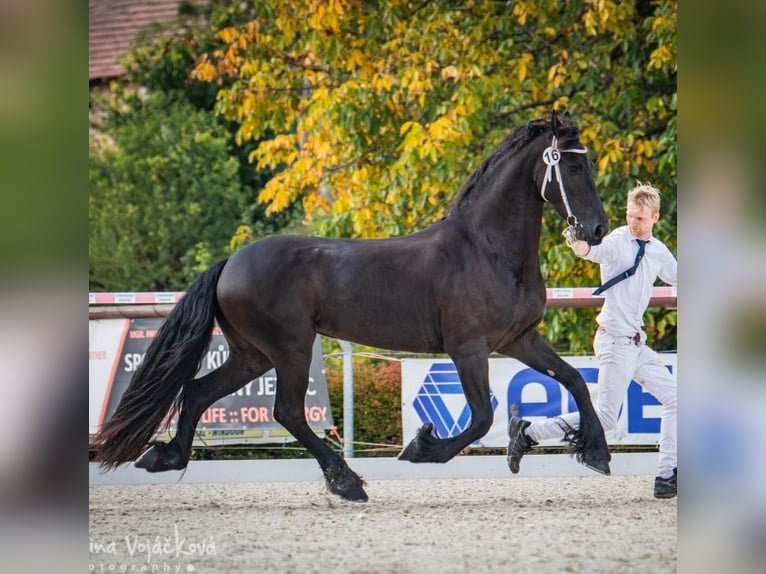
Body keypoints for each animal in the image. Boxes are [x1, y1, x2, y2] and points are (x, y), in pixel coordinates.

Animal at [93, 112, 612, 504]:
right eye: (572, 168)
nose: (597, 229)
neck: (488, 251)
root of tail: (229, 264)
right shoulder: (468, 349)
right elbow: (482, 416)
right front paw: (420, 448)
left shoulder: (520, 339)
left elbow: (575, 381)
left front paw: (597, 454)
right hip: (291, 348)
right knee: (286, 412)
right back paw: (346, 482)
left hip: (253, 355)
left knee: (199, 392)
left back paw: (166, 456)